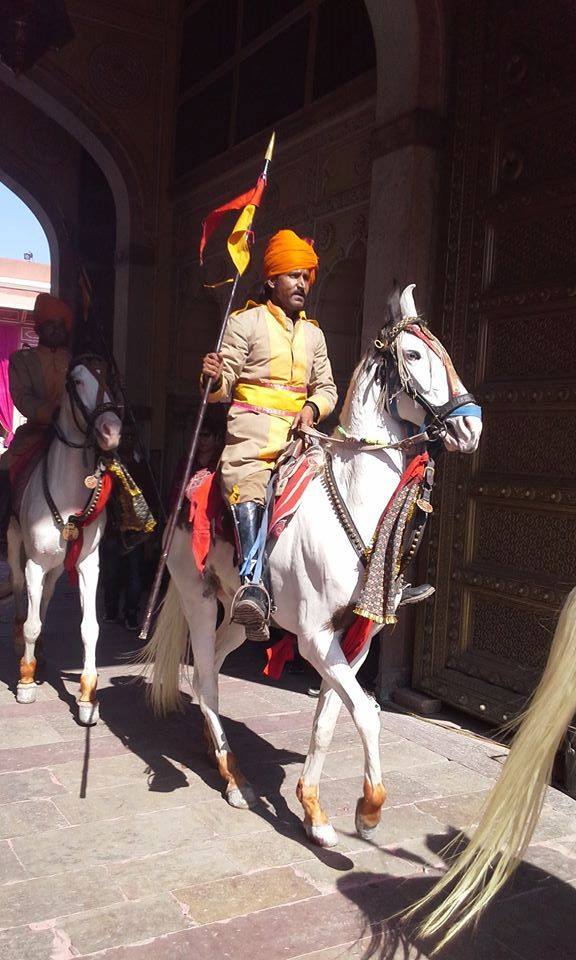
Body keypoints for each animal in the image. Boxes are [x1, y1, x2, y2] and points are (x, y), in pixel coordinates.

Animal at [9, 356, 122, 724]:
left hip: (58, 567)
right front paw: (26, 680)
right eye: (76, 382)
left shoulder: (87, 566)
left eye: (110, 378)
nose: (111, 431)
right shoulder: (33, 563)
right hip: (16, 548)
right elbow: (32, 623)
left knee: (45, 596)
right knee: (21, 594)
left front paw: (87, 696)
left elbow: (90, 629)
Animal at [143, 284, 482, 848]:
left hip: (243, 616)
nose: (469, 425)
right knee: (205, 675)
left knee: (215, 666)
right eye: (414, 356)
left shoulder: (353, 640)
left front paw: (314, 812)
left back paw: (217, 755)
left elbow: (328, 721)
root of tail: (189, 486)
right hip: (197, 597)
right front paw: (368, 811)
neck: (357, 504)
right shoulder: (314, 637)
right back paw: (234, 779)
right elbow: (367, 714)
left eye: (448, 356)